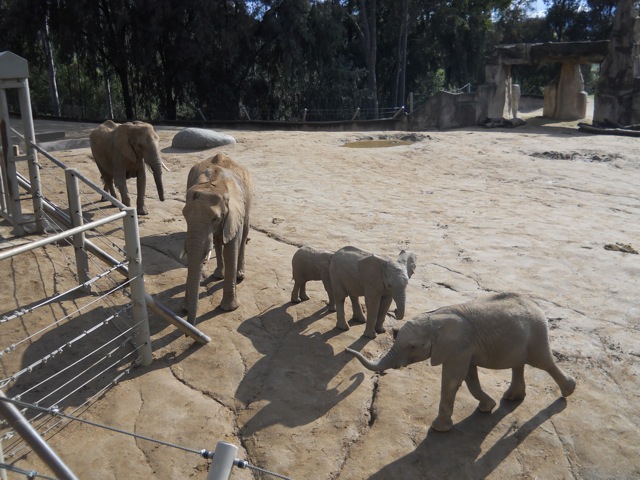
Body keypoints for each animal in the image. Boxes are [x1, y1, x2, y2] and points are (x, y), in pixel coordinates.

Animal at [182, 153, 252, 325]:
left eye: (215, 218)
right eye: (184, 216)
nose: (186, 315)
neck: (212, 184)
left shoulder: (234, 213)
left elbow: (231, 249)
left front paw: (229, 309)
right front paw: (185, 307)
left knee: (243, 235)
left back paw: (240, 276)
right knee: (218, 242)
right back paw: (218, 274)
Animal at [346, 292, 577, 432]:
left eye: (412, 347)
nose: (347, 349)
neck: (435, 318)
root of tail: (537, 305)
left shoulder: (459, 348)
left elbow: (452, 380)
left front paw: (439, 428)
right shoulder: (464, 349)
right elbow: (469, 377)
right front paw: (487, 407)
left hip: (537, 334)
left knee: (544, 363)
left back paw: (569, 390)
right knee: (518, 364)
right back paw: (512, 398)